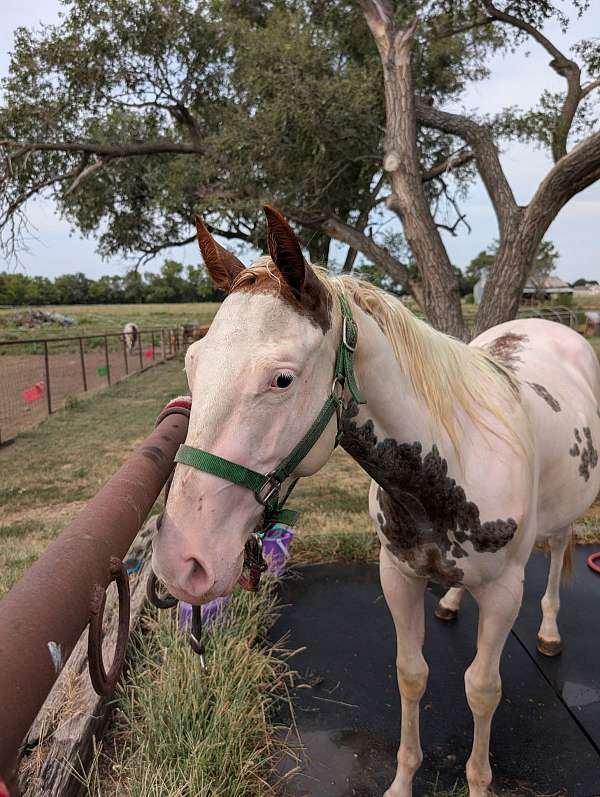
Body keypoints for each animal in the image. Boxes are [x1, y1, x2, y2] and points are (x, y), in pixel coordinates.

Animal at [152, 206, 600, 797]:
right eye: (192, 363)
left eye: (282, 379)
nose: (182, 561)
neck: (448, 468)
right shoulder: (397, 574)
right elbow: (411, 675)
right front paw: (403, 779)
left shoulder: (505, 593)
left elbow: (482, 688)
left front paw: (479, 781)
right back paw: (451, 601)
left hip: (563, 516)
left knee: (559, 549)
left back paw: (548, 630)